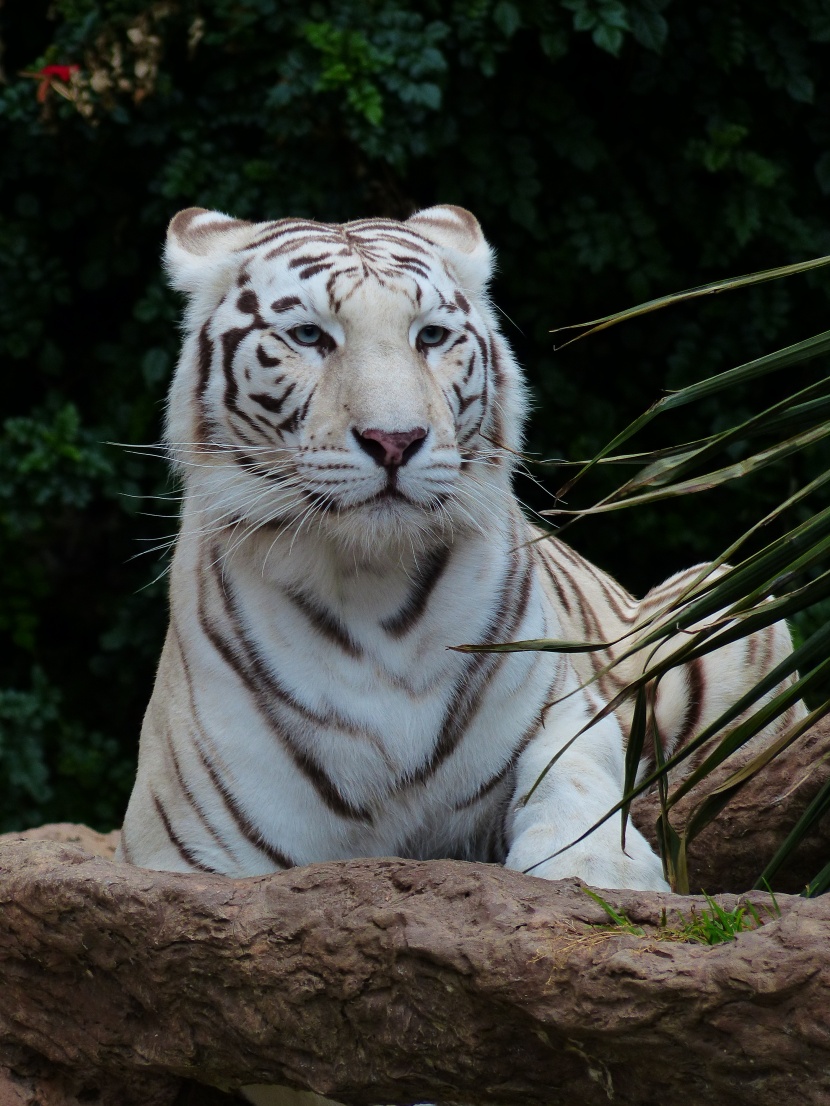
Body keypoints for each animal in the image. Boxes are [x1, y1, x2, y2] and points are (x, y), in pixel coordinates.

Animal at [118, 203, 805, 902]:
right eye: (309, 336)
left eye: (430, 336)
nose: (394, 440)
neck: (371, 586)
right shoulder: (189, 848)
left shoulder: (558, 703)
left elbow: (573, 774)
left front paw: (598, 868)